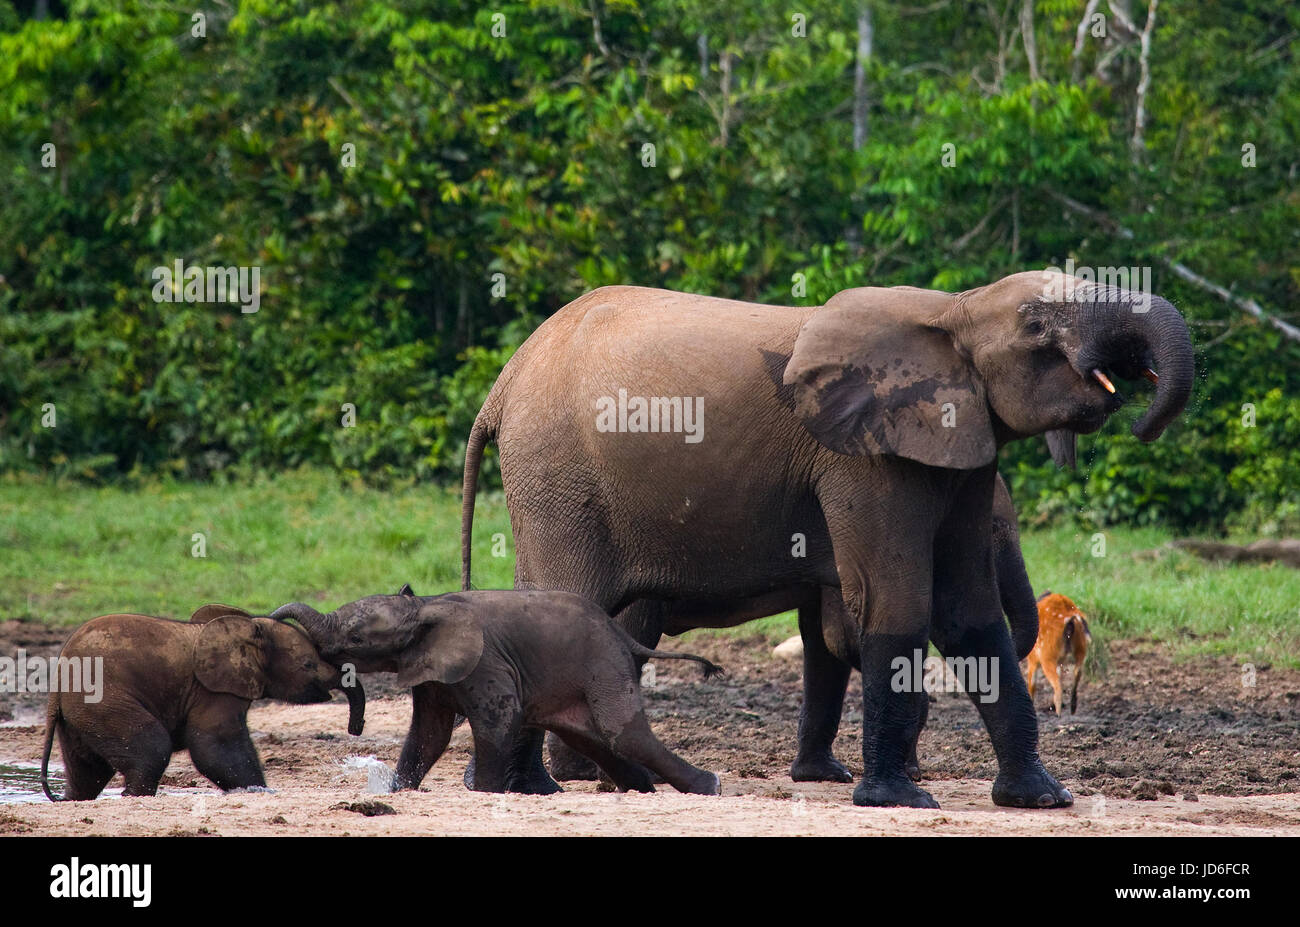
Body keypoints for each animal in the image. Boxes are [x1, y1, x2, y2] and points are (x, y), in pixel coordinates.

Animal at [39, 603, 366, 800]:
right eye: (308, 665)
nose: (356, 728)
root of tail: (57, 687)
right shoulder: (213, 690)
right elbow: (215, 746)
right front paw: (262, 793)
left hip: (80, 717)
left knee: (87, 774)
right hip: (102, 703)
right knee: (151, 748)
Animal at [273, 585, 722, 795]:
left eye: (355, 638)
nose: (271, 616)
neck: (424, 605)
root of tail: (622, 634)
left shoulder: (484, 661)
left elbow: (500, 720)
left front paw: (486, 792)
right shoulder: (431, 671)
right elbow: (429, 734)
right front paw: (397, 790)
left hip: (604, 665)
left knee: (624, 735)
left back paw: (710, 787)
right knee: (596, 741)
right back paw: (642, 790)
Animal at [462, 271, 1190, 806]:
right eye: (1039, 326)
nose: (1141, 412)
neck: (952, 312)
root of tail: (504, 381)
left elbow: (961, 614)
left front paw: (1041, 799)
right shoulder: (861, 460)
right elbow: (894, 605)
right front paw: (899, 799)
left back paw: (526, 784)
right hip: (560, 477)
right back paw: (541, 787)